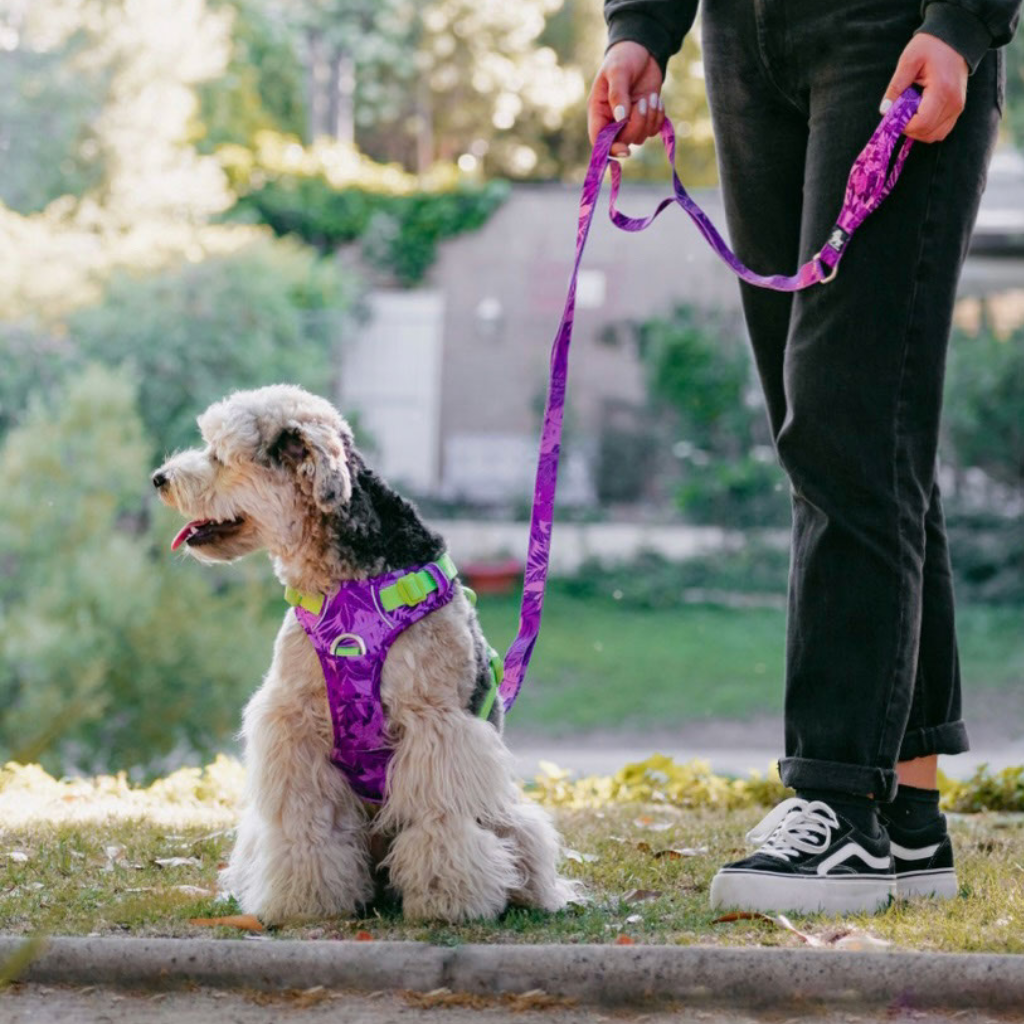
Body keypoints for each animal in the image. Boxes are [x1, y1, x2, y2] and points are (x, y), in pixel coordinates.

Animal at [153, 385, 577, 929]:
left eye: (220, 455)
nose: (159, 479)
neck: (345, 590)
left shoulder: (435, 727)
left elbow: (440, 819)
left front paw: (447, 897)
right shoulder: (295, 724)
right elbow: (307, 826)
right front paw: (307, 899)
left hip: (509, 815)